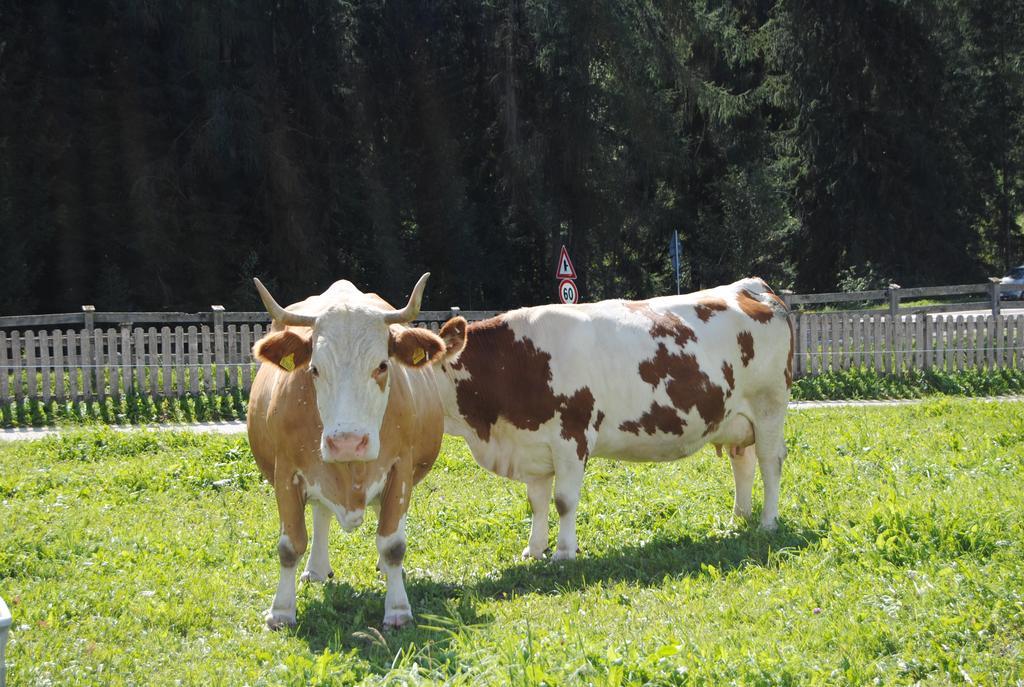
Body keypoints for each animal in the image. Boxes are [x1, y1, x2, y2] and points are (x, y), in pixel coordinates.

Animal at [245, 272, 450, 630]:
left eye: (382, 366)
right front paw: (281, 610)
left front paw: (398, 609)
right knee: (321, 513)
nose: (347, 442)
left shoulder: (400, 468)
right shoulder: (286, 473)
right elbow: (289, 546)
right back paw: (315, 570)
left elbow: (393, 544)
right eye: (314, 369)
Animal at [432, 276, 790, 561]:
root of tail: (753, 287)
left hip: (769, 406)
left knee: (770, 462)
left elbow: (563, 501)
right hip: (736, 419)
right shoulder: (532, 443)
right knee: (742, 463)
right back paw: (738, 519)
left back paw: (767, 522)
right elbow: (537, 502)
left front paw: (564, 553)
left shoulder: (571, 437)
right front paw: (533, 550)